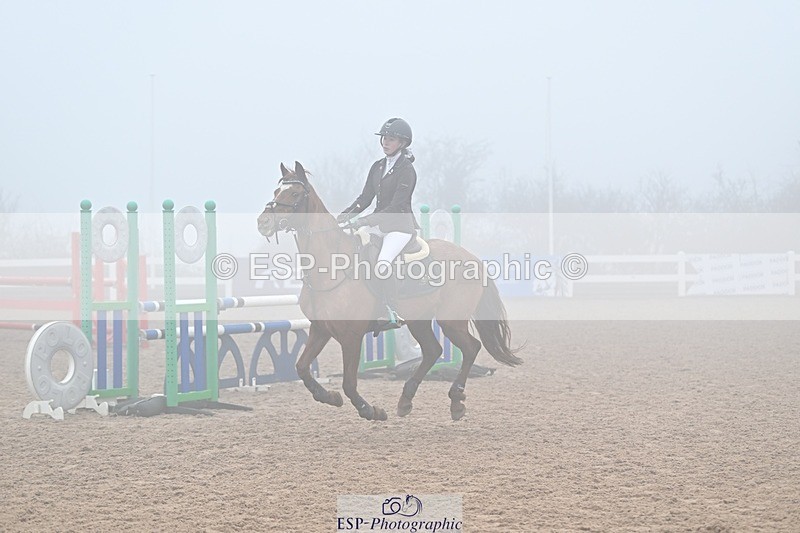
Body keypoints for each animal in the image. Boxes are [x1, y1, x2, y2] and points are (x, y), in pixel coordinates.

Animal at [257, 161, 522, 421]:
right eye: (276, 191)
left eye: (295, 193)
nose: (263, 222)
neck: (331, 266)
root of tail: (472, 257)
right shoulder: (320, 329)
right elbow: (302, 368)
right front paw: (329, 397)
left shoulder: (351, 336)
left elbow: (349, 383)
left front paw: (370, 410)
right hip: (419, 319)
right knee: (433, 351)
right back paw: (406, 400)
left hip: (451, 320)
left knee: (470, 348)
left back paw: (456, 401)